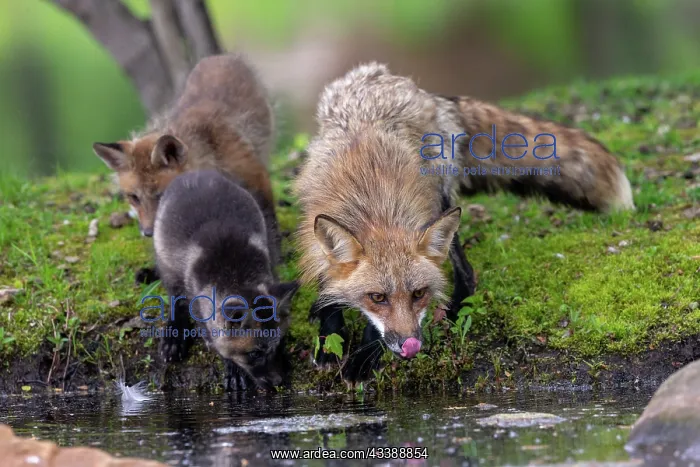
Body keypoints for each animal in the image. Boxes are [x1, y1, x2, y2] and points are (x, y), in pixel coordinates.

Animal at [92, 53, 281, 270]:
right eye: (134, 198)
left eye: (161, 195)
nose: (148, 233)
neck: (211, 155)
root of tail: (219, 57)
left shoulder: (256, 176)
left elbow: (269, 222)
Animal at [153, 170, 299, 391]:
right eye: (254, 353)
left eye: (279, 344)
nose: (278, 382)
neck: (235, 276)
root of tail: (195, 172)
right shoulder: (199, 307)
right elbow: (214, 340)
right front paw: (234, 370)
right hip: (166, 263)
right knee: (175, 299)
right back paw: (174, 333)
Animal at [294, 62, 635, 383]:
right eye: (378, 297)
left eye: (419, 294)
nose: (410, 345)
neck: (374, 204)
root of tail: (416, 88)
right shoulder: (317, 231)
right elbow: (329, 286)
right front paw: (329, 339)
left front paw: (363, 357)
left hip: (443, 199)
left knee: (466, 271)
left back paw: (458, 306)